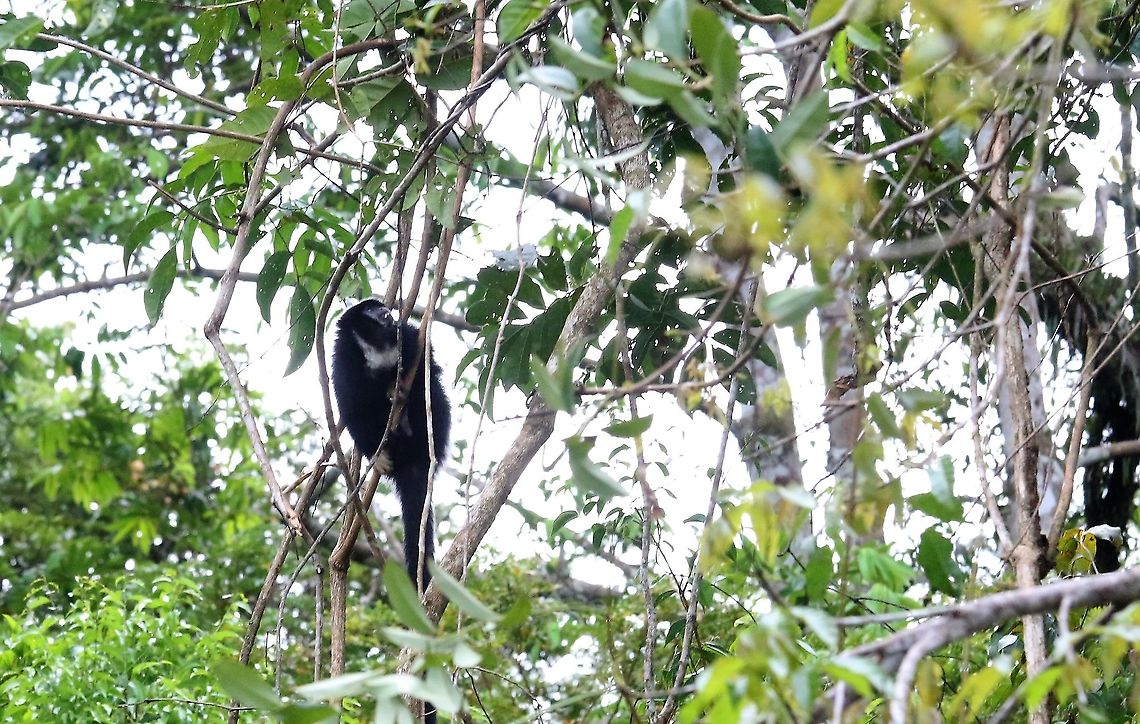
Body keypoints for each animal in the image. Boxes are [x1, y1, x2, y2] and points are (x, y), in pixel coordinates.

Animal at [331, 299, 451, 595]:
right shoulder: (344, 361)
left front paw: (396, 387)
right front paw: (377, 455)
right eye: (371, 311)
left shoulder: (407, 335)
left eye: (381, 308)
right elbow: (352, 409)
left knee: (432, 394)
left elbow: (428, 366)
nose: (385, 312)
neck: (378, 347)